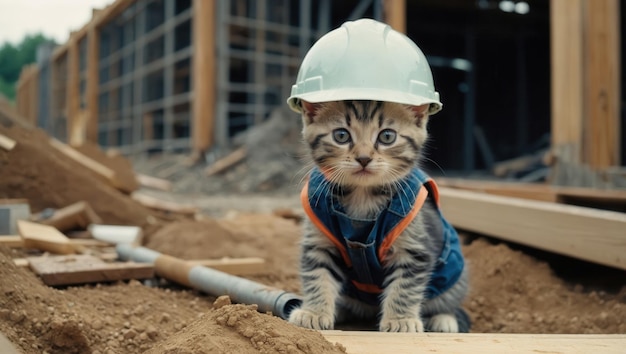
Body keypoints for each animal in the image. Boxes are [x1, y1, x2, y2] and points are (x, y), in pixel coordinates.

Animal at [288, 99, 468, 332]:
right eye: (341, 135)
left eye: (387, 136)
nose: (363, 158)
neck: (363, 196)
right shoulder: (320, 241)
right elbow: (317, 275)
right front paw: (314, 313)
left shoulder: (413, 248)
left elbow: (405, 286)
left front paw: (401, 320)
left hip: (453, 277)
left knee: (449, 300)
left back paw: (444, 319)